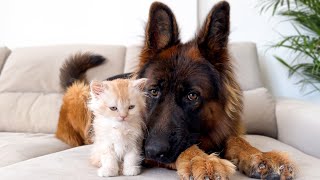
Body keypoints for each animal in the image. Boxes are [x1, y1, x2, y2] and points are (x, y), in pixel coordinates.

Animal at [55, 1, 296, 180]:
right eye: (153, 92)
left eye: (192, 95)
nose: (151, 150)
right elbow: (186, 147)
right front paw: (203, 160)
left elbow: (236, 140)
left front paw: (260, 155)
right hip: (79, 94)